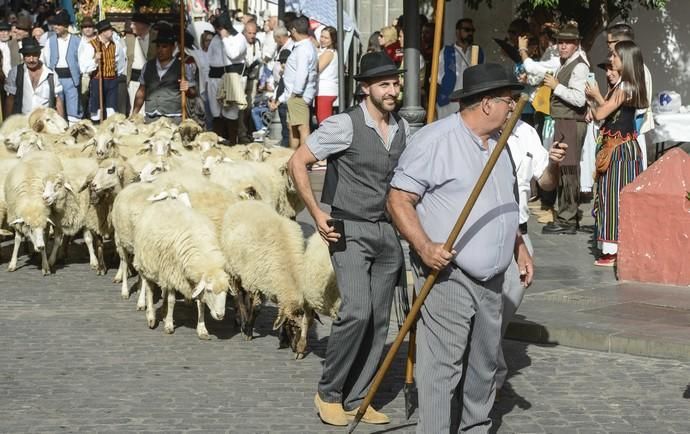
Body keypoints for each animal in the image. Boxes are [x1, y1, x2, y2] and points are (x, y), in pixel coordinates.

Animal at [133, 199, 232, 340]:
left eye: (226, 292)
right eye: (209, 290)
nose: (220, 316)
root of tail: (161, 202)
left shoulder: (192, 281)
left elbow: (201, 304)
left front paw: (202, 329)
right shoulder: (172, 273)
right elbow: (172, 301)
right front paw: (169, 326)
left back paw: (163, 313)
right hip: (147, 266)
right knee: (150, 290)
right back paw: (151, 317)